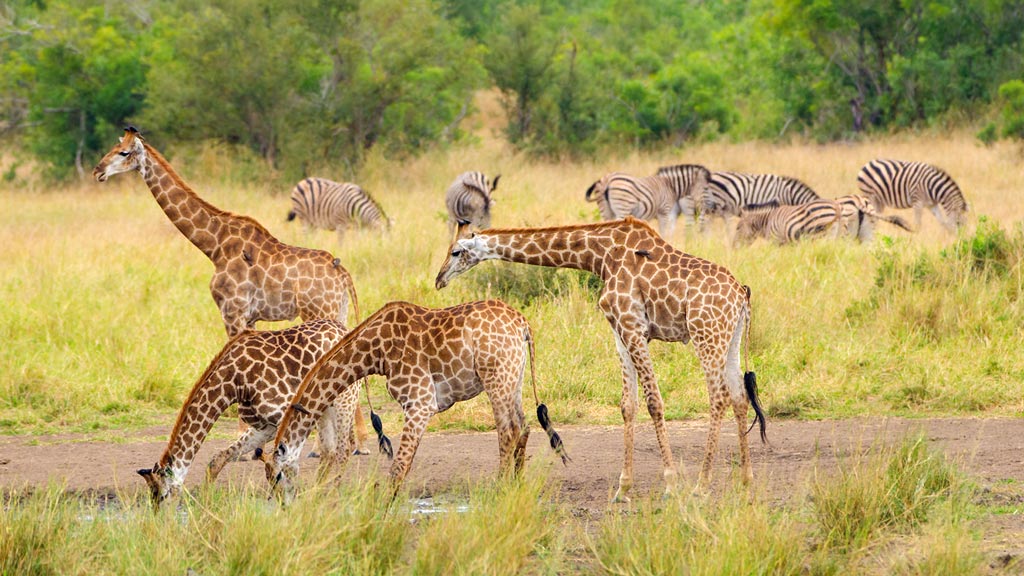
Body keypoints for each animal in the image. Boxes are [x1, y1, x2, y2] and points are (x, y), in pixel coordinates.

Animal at [90, 123, 360, 334]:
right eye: (111, 149)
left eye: (123, 152)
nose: (97, 171)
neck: (215, 246)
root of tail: (343, 275)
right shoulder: (248, 317)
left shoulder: (233, 311)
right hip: (339, 310)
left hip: (318, 310)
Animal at [136, 317, 385, 506]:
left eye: (162, 495)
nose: (161, 518)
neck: (233, 381)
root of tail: (343, 328)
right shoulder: (264, 424)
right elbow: (218, 458)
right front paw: (205, 504)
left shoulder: (284, 414)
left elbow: (281, 466)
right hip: (324, 406)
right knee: (330, 451)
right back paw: (317, 495)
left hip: (344, 399)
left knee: (342, 449)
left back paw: (331, 494)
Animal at [262, 297, 569, 500]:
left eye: (277, 475)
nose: (282, 503)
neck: (374, 352)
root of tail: (523, 324)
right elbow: (402, 462)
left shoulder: (420, 402)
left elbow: (399, 465)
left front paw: (383, 507)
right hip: (513, 376)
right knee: (523, 425)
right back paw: (517, 485)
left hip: (496, 376)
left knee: (508, 430)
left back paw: (501, 487)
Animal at [436, 217, 765, 500]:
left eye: (455, 252)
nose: (439, 279)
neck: (600, 254)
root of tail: (742, 294)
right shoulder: (620, 331)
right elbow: (628, 405)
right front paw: (623, 488)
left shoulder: (632, 325)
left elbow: (654, 402)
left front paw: (671, 484)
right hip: (730, 338)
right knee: (739, 397)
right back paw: (746, 481)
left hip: (706, 334)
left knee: (718, 397)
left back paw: (701, 484)